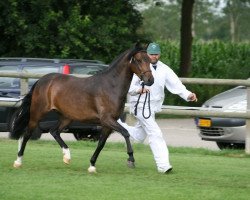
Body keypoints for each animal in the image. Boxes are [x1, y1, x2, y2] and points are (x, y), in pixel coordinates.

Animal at [10, 43, 154, 172]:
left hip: (66, 117)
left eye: (149, 60)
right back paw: (18, 161)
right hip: (37, 113)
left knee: (54, 131)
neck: (110, 86)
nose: (150, 80)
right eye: (139, 60)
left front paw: (92, 165)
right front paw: (131, 159)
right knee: (28, 133)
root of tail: (41, 81)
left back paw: (67, 156)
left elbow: (101, 143)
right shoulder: (107, 119)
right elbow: (125, 133)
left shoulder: (107, 123)